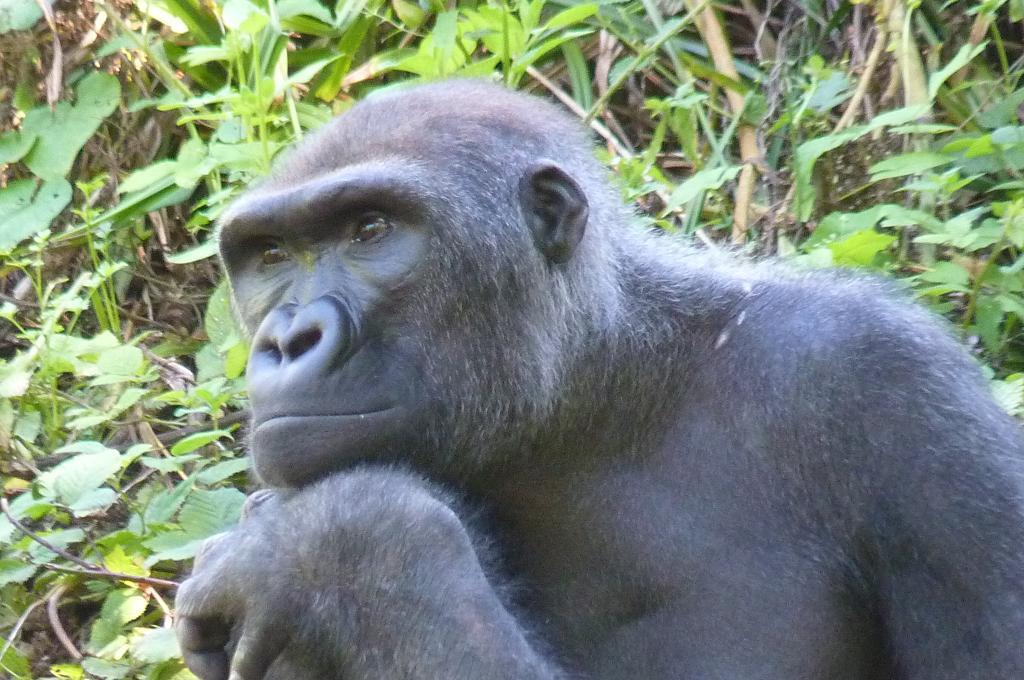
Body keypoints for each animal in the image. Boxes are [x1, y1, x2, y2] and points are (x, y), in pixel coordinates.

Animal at [175, 79, 1024, 680]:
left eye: (371, 231)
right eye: (271, 257)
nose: (288, 339)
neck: (603, 398)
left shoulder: (884, 384)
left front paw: (336, 544)